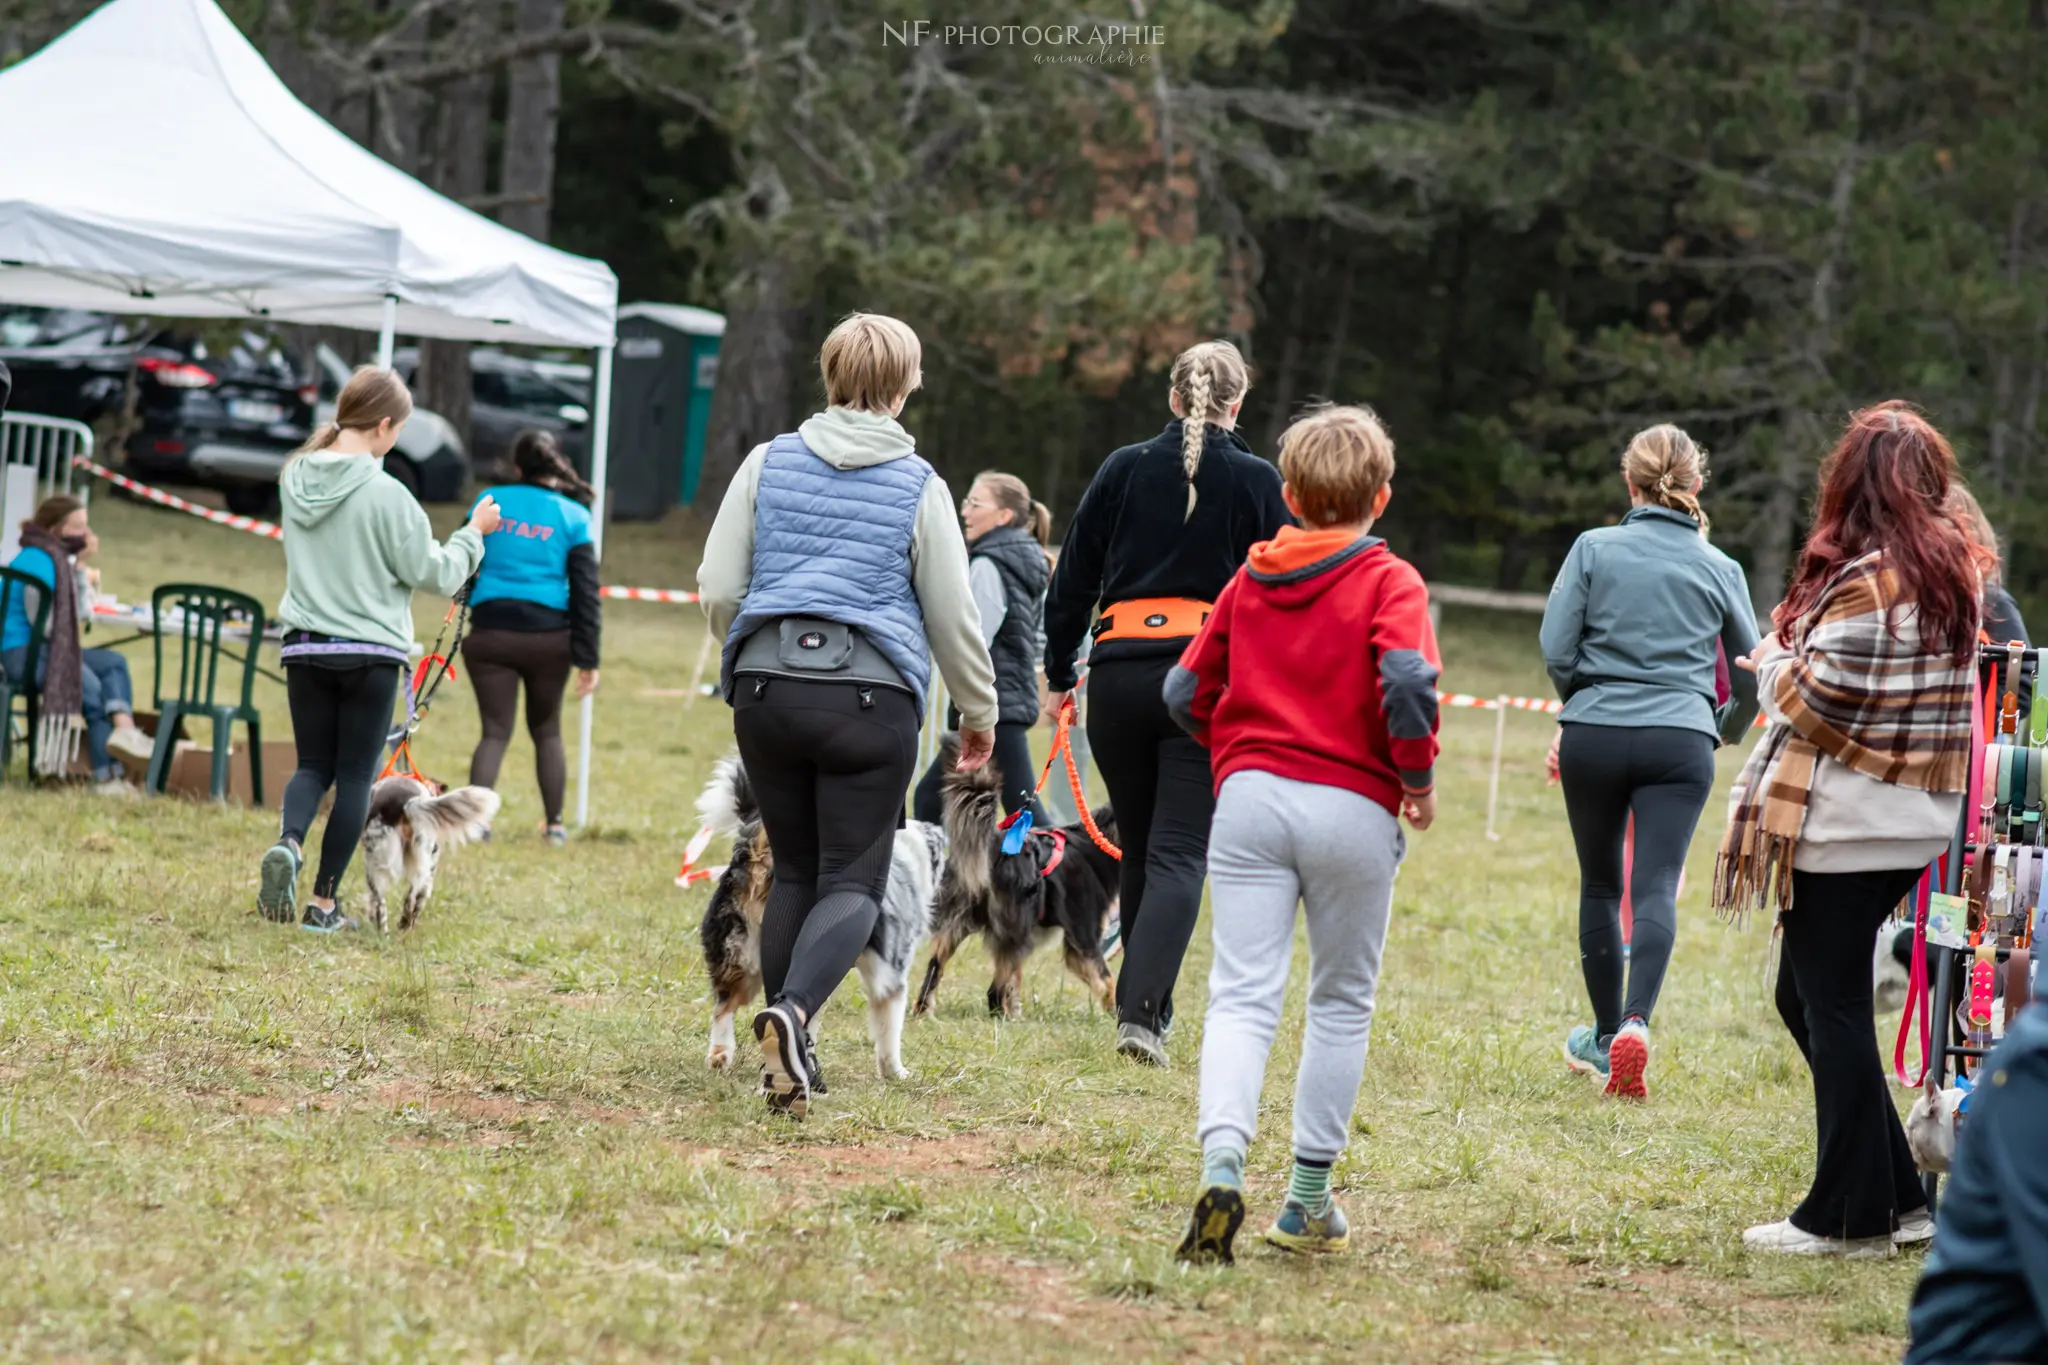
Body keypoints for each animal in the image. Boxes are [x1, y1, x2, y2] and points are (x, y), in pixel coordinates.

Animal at [358, 773, 497, 933]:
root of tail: (408, 803)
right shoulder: (431, 863)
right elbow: (422, 896)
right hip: (421, 858)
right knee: (410, 898)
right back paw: (405, 924)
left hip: (374, 864)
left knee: (382, 904)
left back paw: (384, 932)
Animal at [692, 753, 937, 1080]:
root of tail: (758, 851)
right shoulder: (890, 973)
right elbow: (889, 1028)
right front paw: (895, 1072)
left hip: (739, 949)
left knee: (725, 1005)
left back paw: (727, 1055)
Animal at [921, 740, 1130, 1019]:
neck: (1098, 844)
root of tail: (992, 847)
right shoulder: (1083, 940)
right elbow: (1107, 980)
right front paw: (1114, 1014)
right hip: (1017, 930)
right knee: (994, 989)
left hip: (962, 922)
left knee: (936, 967)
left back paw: (925, 1010)